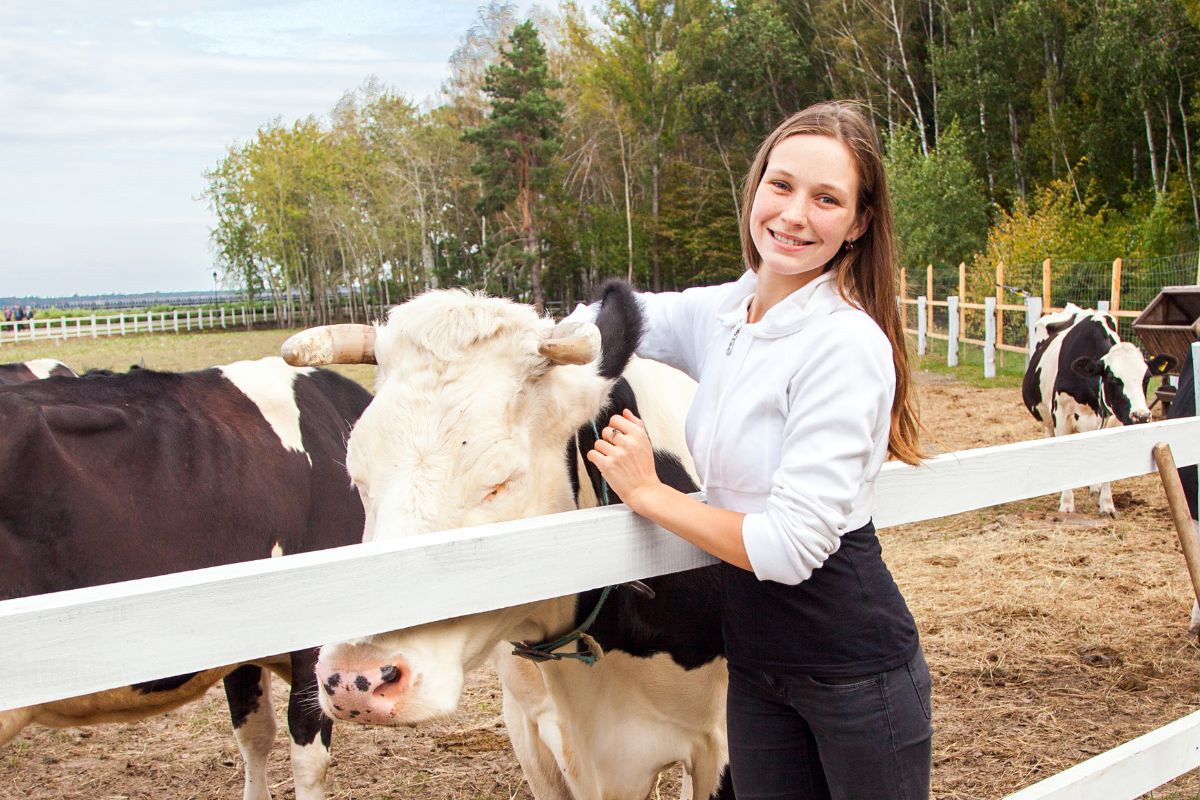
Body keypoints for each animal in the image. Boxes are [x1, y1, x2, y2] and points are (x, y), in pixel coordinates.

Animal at [1022, 303, 1171, 515]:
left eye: (1147, 378)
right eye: (1113, 379)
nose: (1141, 416)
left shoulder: (1113, 421)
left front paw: (1107, 504)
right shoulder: (1062, 416)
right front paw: (1066, 504)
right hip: (1047, 419)